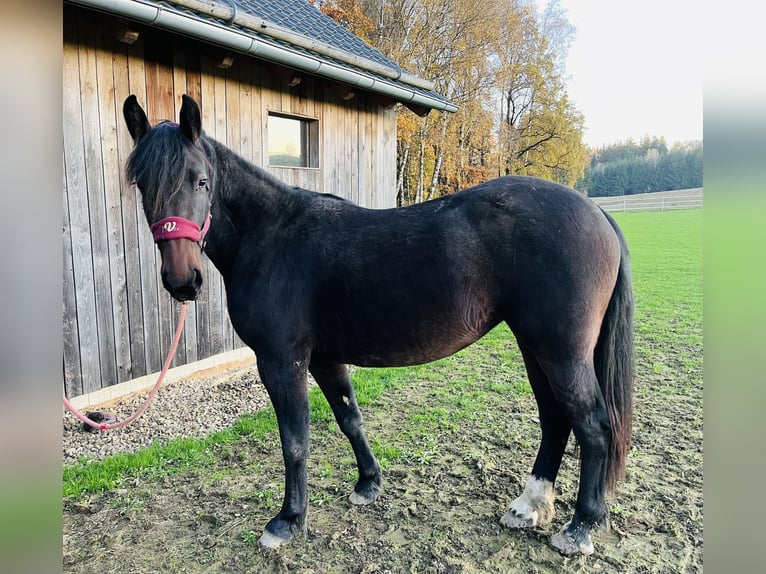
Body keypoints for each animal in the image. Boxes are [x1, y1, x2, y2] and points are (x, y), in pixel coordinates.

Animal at [121, 94, 636, 560]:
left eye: (201, 181)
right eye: (143, 185)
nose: (183, 280)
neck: (273, 238)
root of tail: (597, 213)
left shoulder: (281, 362)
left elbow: (295, 441)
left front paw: (288, 520)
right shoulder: (325, 359)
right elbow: (349, 418)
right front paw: (369, 484)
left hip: (560, 352)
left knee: (592, 424)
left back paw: (580, 527)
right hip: (535, 348)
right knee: (555, 420)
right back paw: (530, 506)